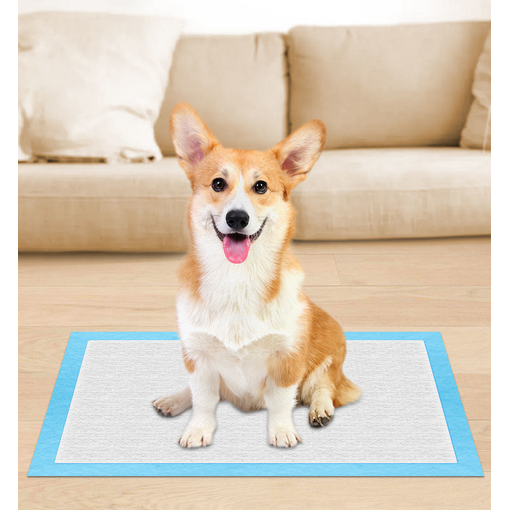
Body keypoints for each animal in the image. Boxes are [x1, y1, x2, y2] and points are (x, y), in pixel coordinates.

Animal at [151, 103, 358, 446]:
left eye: (260, 186)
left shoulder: (287, 358)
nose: (237, 218)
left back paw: (320, 409)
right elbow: (203, 400)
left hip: (329, 356)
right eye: (218, 184)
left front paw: (282, 432)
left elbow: (281, 401)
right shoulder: (198, 356)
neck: (237, 279)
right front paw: (197, 430)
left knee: (324, 386)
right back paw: (173, 400)